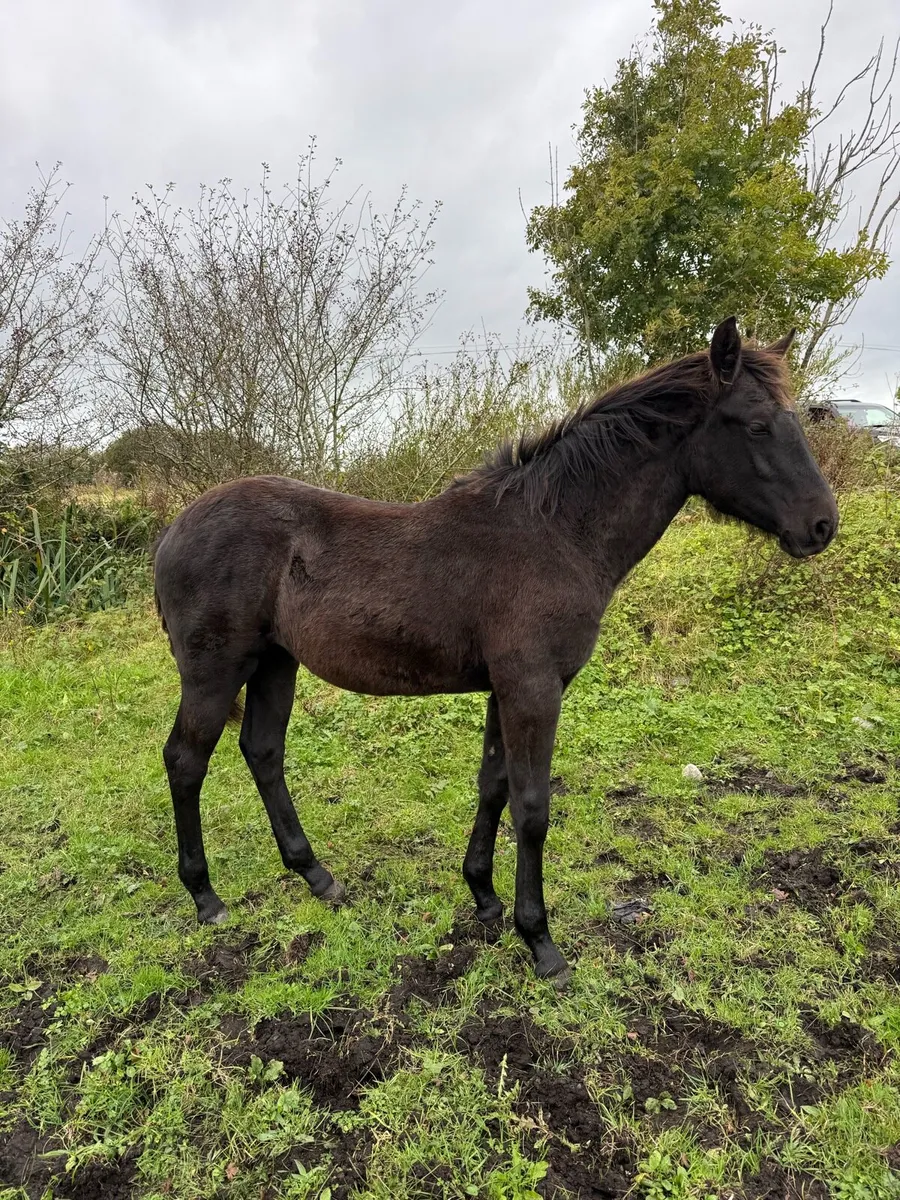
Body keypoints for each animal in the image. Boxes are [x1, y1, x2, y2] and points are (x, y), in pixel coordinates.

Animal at [153, 318, 838, 983]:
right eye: (757, 425)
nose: (822, 526)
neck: (555, 532)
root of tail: (173, 531)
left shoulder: (503, 689)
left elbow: (494, 785)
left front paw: (484, 897)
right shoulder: (533, 687)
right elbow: (532, 807)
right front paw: (541, 943)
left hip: (276, 663)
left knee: (263, 751)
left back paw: (317, 877)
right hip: (216, 671)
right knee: (186, 761)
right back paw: (206, 898)